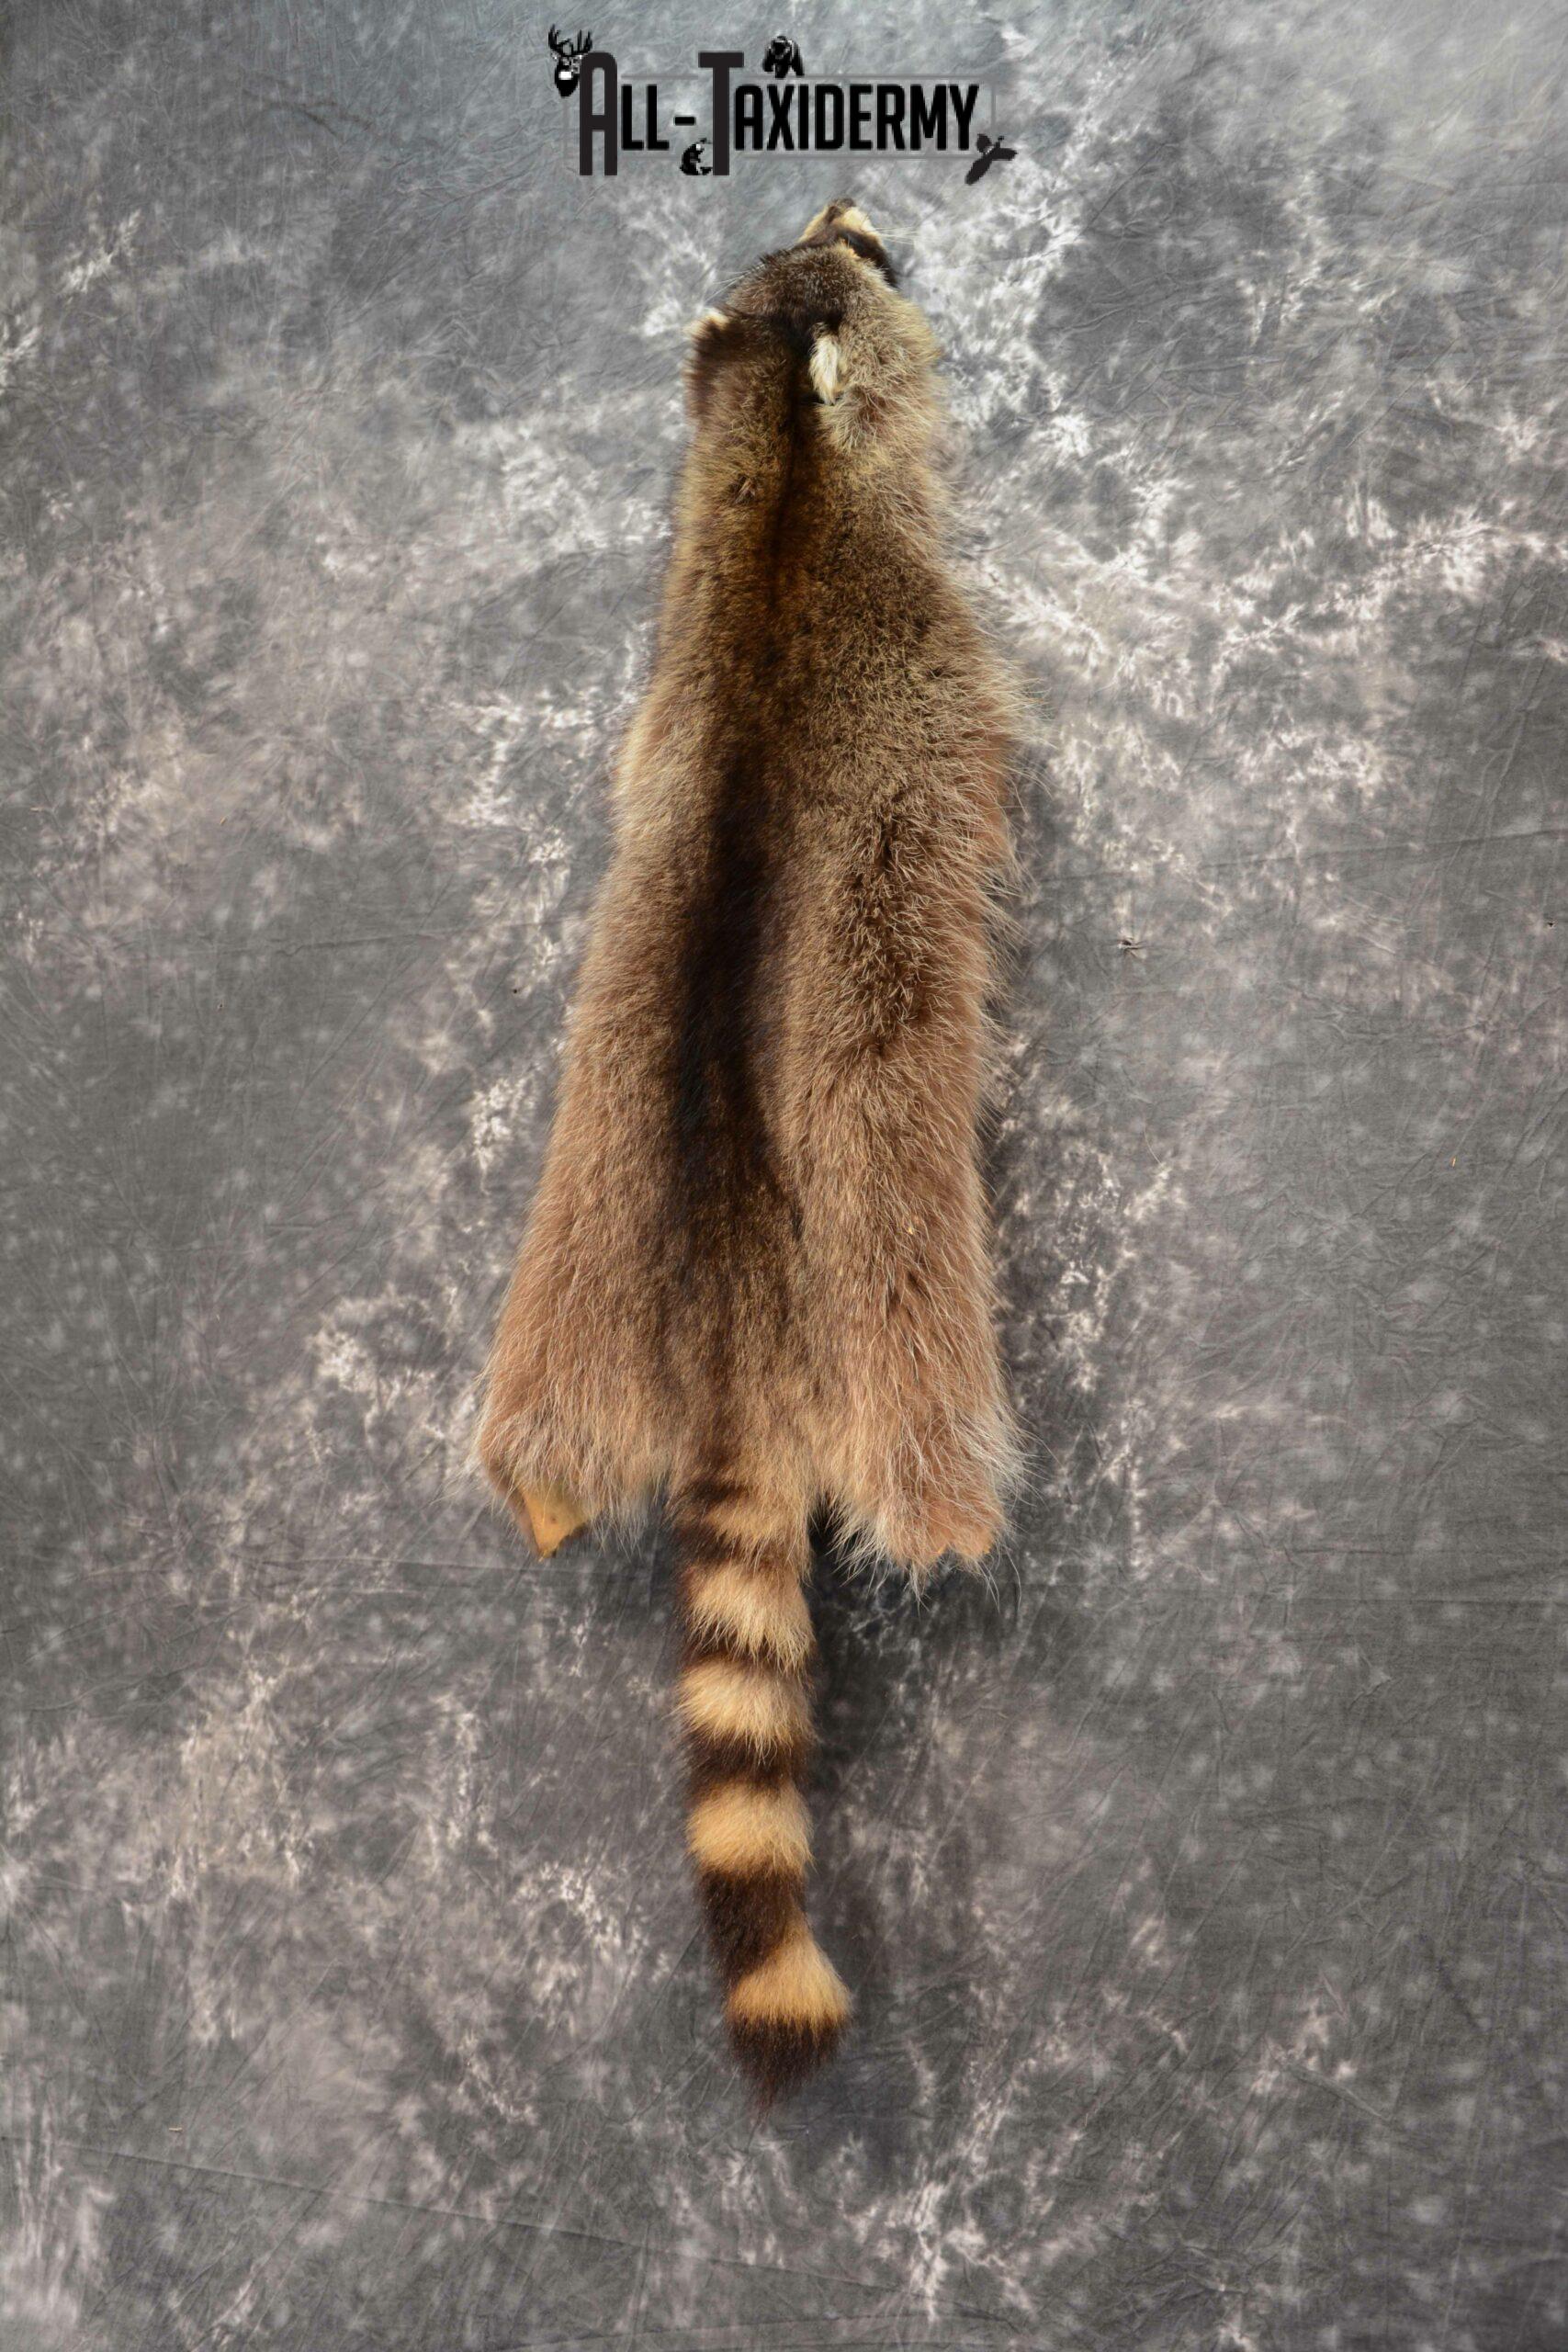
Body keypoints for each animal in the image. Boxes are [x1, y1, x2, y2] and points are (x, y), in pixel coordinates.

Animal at [478, 201, 1021, 2102]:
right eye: (856, 250)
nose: (859, 205)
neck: (786, 468)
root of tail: (732, 1349)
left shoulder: (673, 676)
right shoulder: (942, 651)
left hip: (580, 1269)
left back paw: (542, 1490)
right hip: (898, 1279)